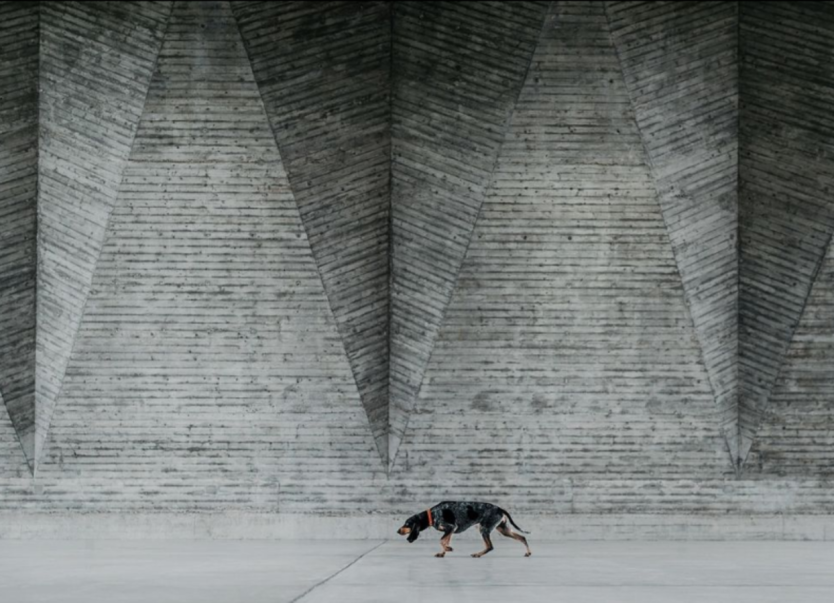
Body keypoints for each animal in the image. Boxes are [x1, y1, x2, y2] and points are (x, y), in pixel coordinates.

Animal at [394, 502, 528, 560]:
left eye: (407, 524)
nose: (397, 531)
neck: (431, 515)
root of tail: (500, 508)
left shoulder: (450, 527)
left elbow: (442, 541)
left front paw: (449, 549)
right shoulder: (450, 531)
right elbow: (445, 541)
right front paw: (443, 553)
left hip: (484, 529)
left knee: (490, 546)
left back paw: (477, 554)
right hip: (503, 529)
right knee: (522, 537)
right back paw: (528, 553)